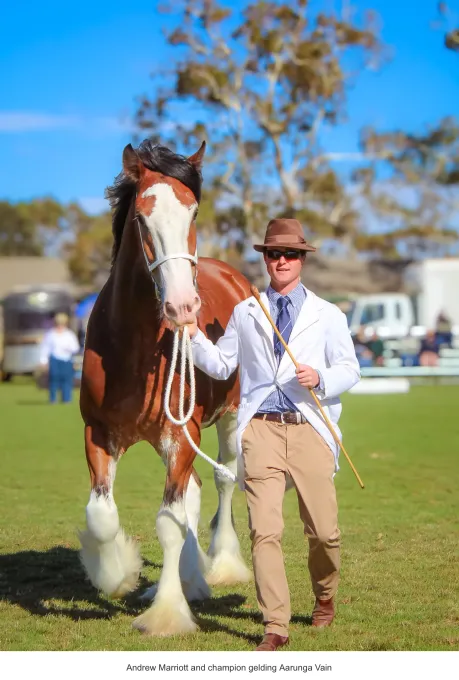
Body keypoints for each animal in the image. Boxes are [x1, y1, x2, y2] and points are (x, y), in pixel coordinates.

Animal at [79, 140, 252, 636]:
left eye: (193, 213)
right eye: (141, 217)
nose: (182, 306)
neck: (135, 347)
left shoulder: (181, 434)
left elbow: (170, 523)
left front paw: (167, 613)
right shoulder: (98, 433)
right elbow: (101, 516)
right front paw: (117, 573)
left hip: (229, 420)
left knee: (224, 478)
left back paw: (220, 565)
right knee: (193, 490)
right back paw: (191, 575)